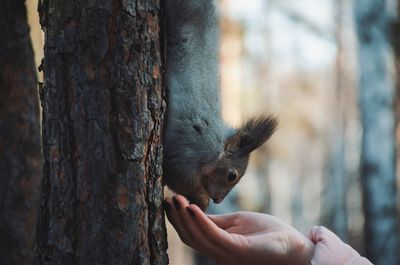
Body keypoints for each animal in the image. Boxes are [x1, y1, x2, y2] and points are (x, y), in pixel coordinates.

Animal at [161, 0, 276, 210]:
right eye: (232, 176)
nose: (218, 200)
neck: (216, 145)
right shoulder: (187, 149)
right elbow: (178, 174)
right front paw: (201, 201)